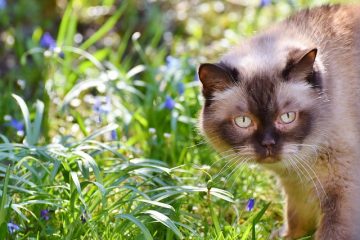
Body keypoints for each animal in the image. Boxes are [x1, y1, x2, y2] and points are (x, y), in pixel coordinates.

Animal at [198, 4, 360, 240]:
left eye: (286, 117)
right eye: (244, 121)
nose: (268, 144)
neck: (299, 163)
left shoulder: (342, 188)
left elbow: (332, 232)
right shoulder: (297, 186)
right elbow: (295, 218)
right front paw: (285, 236)